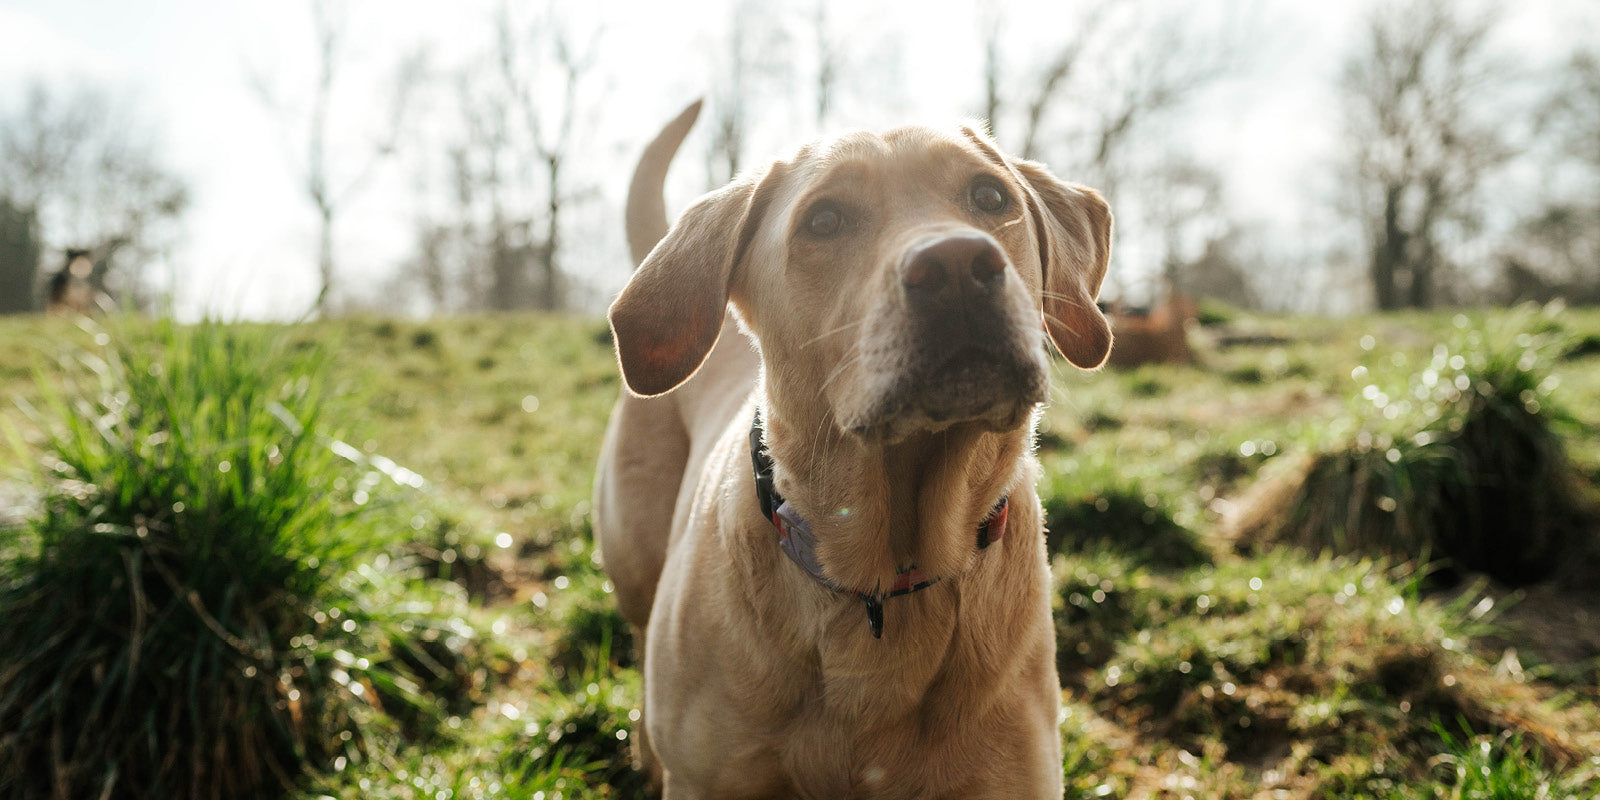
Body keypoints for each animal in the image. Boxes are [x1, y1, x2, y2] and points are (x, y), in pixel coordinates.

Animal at [592, 101, 1113, 800]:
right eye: (825, 220)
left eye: (989, 195)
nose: (956, 266)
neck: (886, 574)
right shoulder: (710, 779)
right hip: (633, 562)